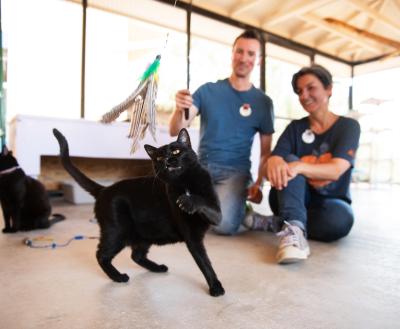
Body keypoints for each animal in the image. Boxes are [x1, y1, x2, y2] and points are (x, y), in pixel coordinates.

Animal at [52, 127, 225, 294]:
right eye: (159, 158)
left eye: (176, 151)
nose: (168, 160)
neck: (185, 183)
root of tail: (104, 189)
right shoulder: (191, 237)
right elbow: (204, 262)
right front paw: (216, 288)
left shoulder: (217, 215)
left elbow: (203, 204)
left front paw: (187, 200)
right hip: (117, 232)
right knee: (102, 255)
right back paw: (119, 277)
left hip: (145, 234)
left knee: (136, 256)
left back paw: (158, 268)